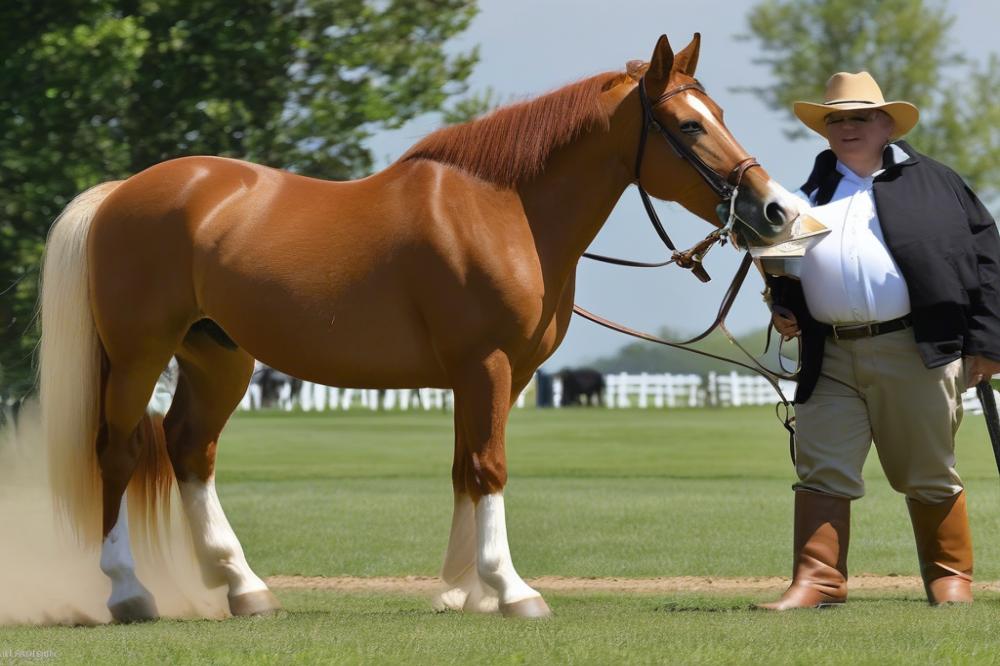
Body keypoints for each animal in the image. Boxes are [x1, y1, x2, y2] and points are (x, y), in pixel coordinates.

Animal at [37, 33, 820, 620]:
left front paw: (462, 591)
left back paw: (243, 587)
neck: (505, 211)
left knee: (189, 450)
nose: (776, 209)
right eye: (689, 125)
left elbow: (464, 469)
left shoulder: (495, 374)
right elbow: (490, 467)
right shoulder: (485, 364)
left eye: (719, 111)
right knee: (118, 450)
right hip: (139, 354)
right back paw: (130, 593)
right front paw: (512, 591)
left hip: (218, 357)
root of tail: (123, 192)